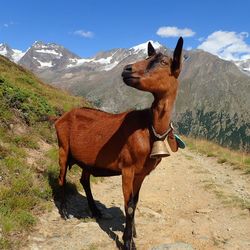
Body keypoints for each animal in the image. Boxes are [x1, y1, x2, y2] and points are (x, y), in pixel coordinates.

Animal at [55, 37, 184, 250]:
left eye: (163, 62)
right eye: (147, 57)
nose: (127, 69)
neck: (149, 129)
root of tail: (61, 117)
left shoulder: (142, 173)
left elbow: (135, 202)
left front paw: (131, 235)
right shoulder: (127, 169)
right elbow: (128, 206)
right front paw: (128, 242)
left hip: (88, 160)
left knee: (84, 180)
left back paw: (95, 211)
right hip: (63, 148)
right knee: (61, 177)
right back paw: (65, 212)